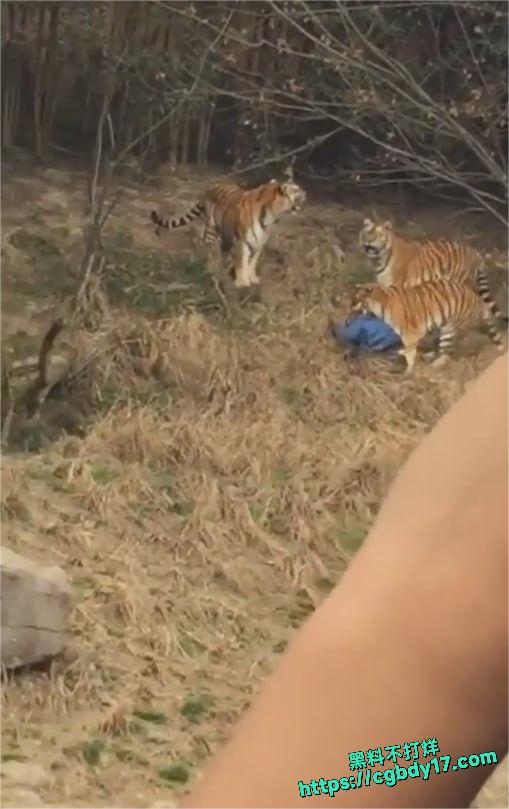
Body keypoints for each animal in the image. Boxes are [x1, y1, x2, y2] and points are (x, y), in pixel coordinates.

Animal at [150, 178, 306, 288]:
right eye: (296, 190)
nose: (306, 193)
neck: (272, 216)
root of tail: (210, 187)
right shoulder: (242, 241)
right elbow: (242, 261)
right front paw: (242, 282)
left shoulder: (259, 242)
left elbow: (253, 261)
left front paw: (252, 279)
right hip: (211, 230)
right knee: (207, 249)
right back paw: (210, 269)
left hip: (226, 236)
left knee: (222, 252)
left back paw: (223, 272)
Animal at [348, 279, 505, 371]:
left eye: (354, 302)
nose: (347, 321)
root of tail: (477, 299)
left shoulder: (411, 334)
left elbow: (409, 353)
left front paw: (408, 369)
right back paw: (429, 356)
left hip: (449, 329)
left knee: (446, 355)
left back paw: (434, 365)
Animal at [358, 217, 507, 323]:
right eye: (368, 233)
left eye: (379, 235)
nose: (369, 242)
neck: (378, 259)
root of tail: (475, 252)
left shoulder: (395, 285)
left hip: (460, 283)